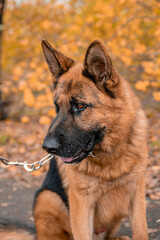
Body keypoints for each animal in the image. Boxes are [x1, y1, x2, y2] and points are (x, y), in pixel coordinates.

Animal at [33, 39, 149, 240]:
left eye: (80, 106)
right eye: (57, 107)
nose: (47, 148)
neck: (110, 159)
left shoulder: (137, 193)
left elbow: (141, 231)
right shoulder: (81, 202)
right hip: (48, 197)